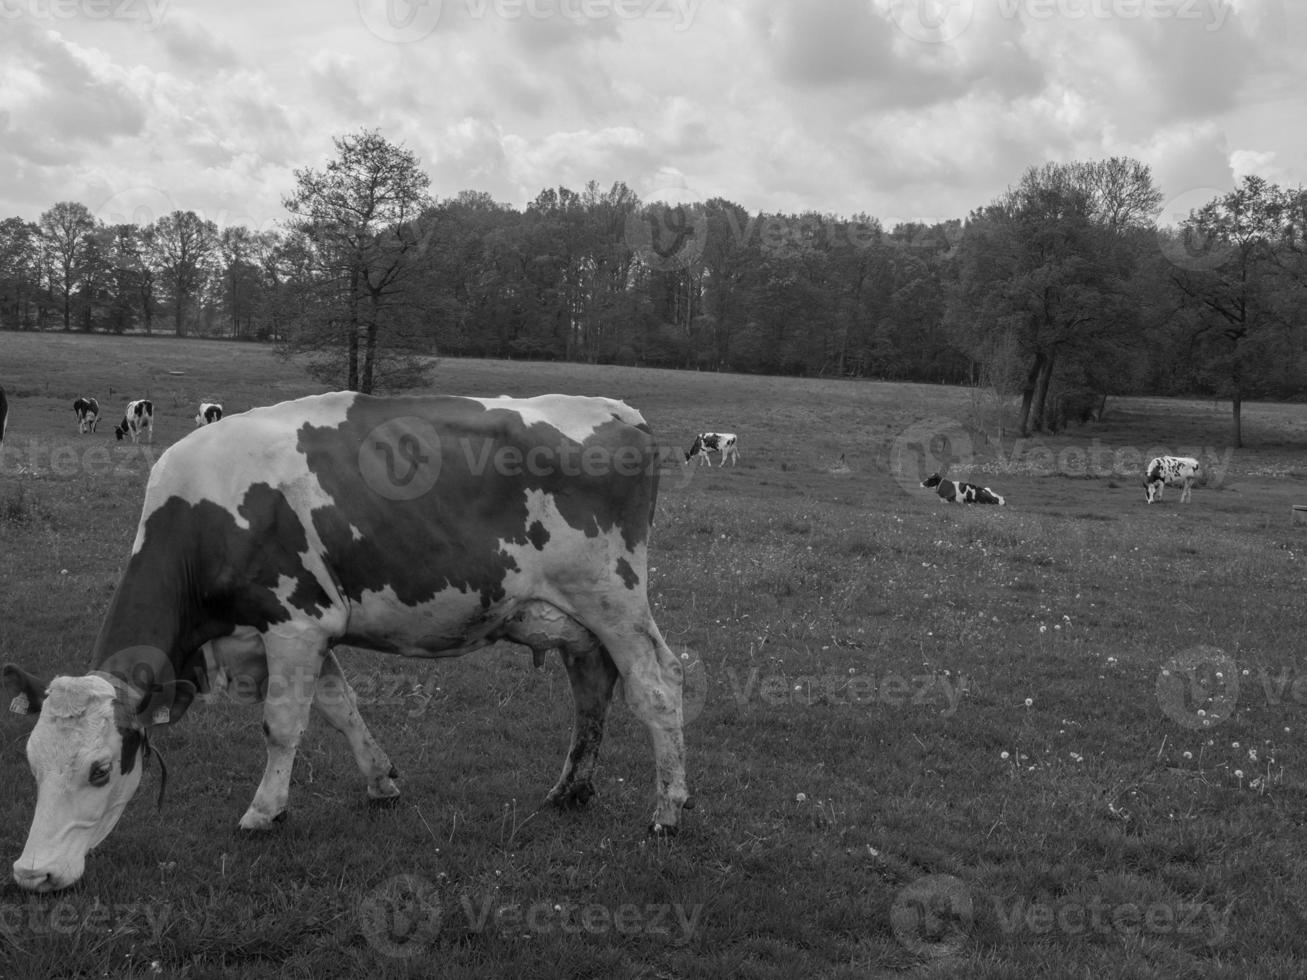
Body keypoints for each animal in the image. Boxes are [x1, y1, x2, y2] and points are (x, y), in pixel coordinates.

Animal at [2, 394, 695, 893]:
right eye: (31, 765)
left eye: (99, 769)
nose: (32, 875)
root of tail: (620, 411)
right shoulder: (297, 630)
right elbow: (341, 708)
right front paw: (381, 783)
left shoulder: (294, 622)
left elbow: (282, 725)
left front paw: (264, 812)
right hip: (575, 619)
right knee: (592, 688)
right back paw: (570, 790)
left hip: (613, 598)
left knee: (658, 686)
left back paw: (668, 810)